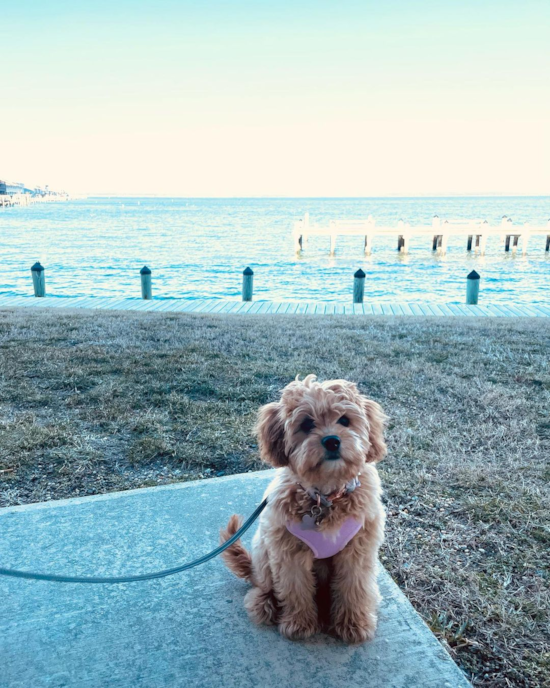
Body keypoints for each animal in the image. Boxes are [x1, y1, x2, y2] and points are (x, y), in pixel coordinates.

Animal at [221, 374, 388, 644]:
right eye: (307, 424)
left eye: (344, 420)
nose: (332, 441)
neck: (325, 497)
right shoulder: (288, 551)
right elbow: (295, 587)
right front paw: (299, 624)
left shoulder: (358, 549)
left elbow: (354, 586)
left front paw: (353, 624)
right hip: (263, 549)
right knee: (264, 586)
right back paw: (265, 604)